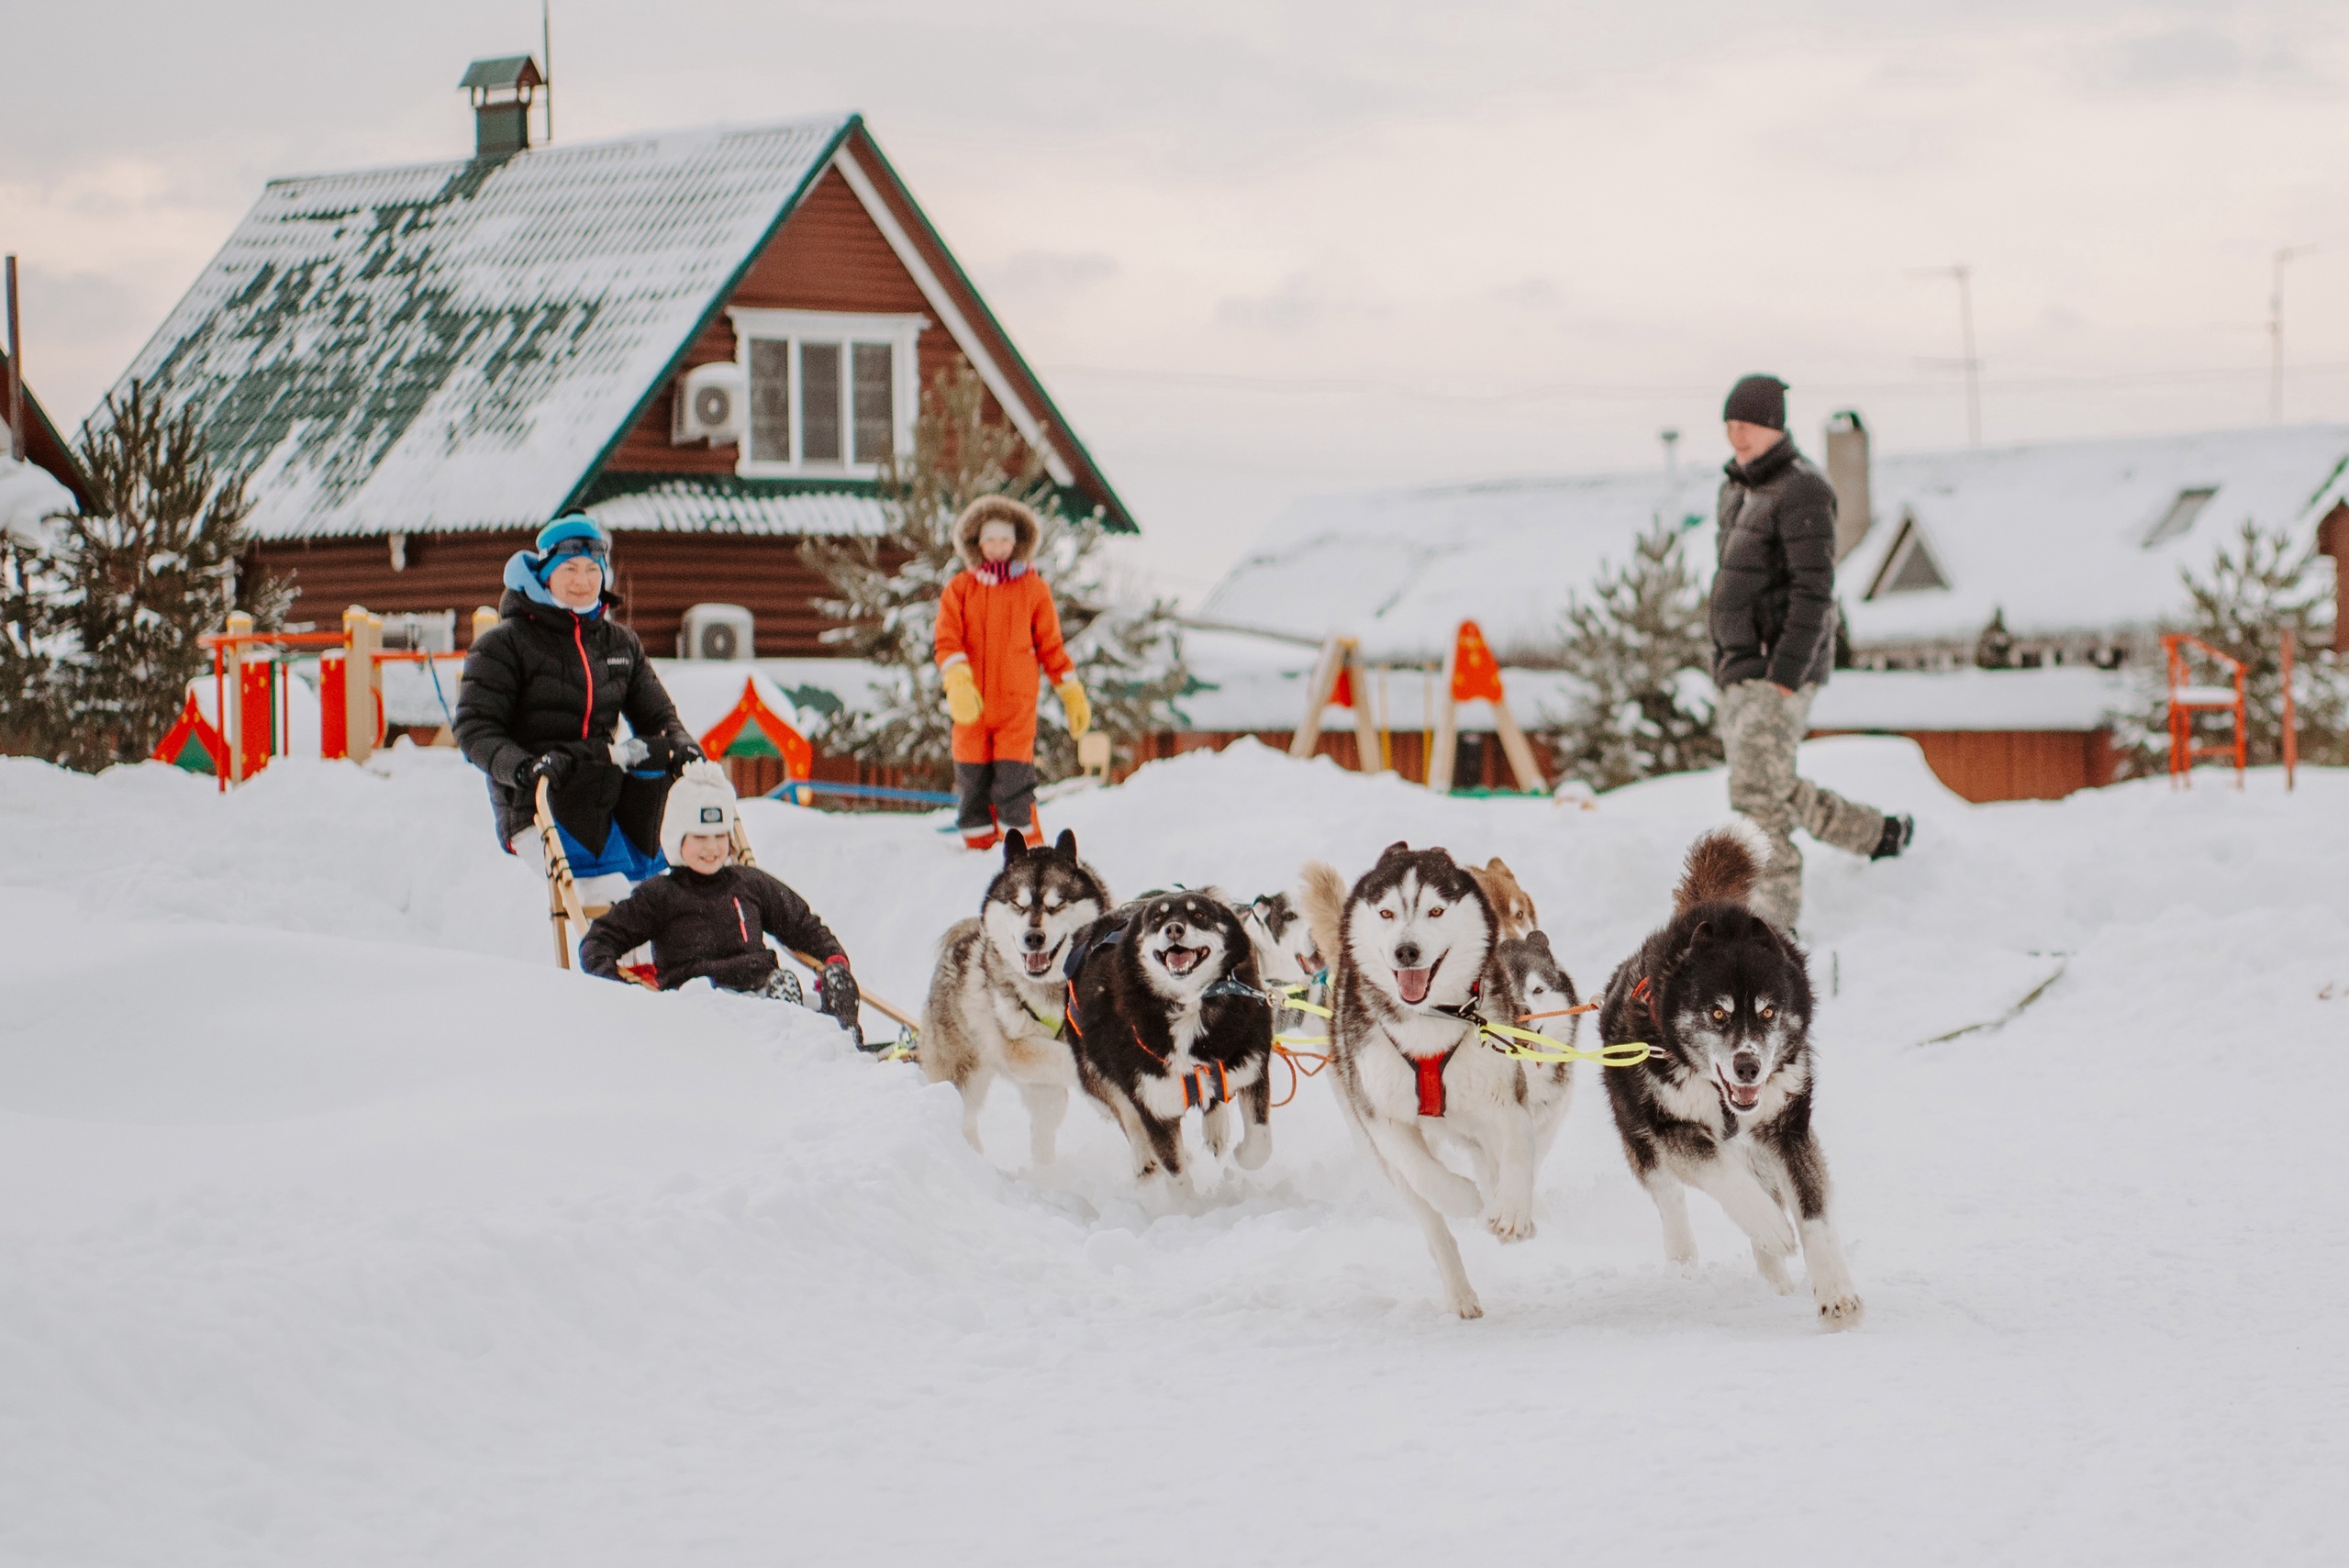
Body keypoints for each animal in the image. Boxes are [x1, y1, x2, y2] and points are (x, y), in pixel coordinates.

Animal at [919, 829, 1111, 1167]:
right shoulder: (1016, 1049)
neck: (1053, 989)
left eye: (1056, 905)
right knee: (966, 1119)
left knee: (1043, 1129)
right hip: (964, 1078)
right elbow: (1066, 1057)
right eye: (1018, 905)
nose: (1033, 938)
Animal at [1065, 890, 1274, 1194]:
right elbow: (1175, 1173)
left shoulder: (1252, 1068)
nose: (1174, 929)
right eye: (1157, 918)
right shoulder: (1155, 1106)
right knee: (1128, 1117)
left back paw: (1217, 1130)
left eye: (1199, 914)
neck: (1189, 1005)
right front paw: (1187, 1204)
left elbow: (1260, 1143)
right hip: (1098, 1073)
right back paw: (1145, 1162)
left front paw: (1241, 1153)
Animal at [1302, 843, 1536, 1320]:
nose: (1406, 951)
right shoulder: (1381, 1119)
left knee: (1491, 1159)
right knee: (1433, 1225)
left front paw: (1512, 1212)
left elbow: (1518, 1147)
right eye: (1387, 912)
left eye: (1435, 910)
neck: (1428, 1021)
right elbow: (1423, 1172)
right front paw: (1464, 1198)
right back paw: (1460, 1291)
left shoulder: (1504, 1098)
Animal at [1598, 826, 1864, 1330]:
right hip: (1640, 1134)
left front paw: (1836, 1293)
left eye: (1769, 1011)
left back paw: (1775, 1277)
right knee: (1670, 1198)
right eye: (1717, 1013)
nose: (1748, 1067)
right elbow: (1721, 1172)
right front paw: (1771, 1229)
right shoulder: (1674, 1128)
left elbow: (1814, 1214)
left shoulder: (1788, 1129)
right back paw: (1685, 1262)